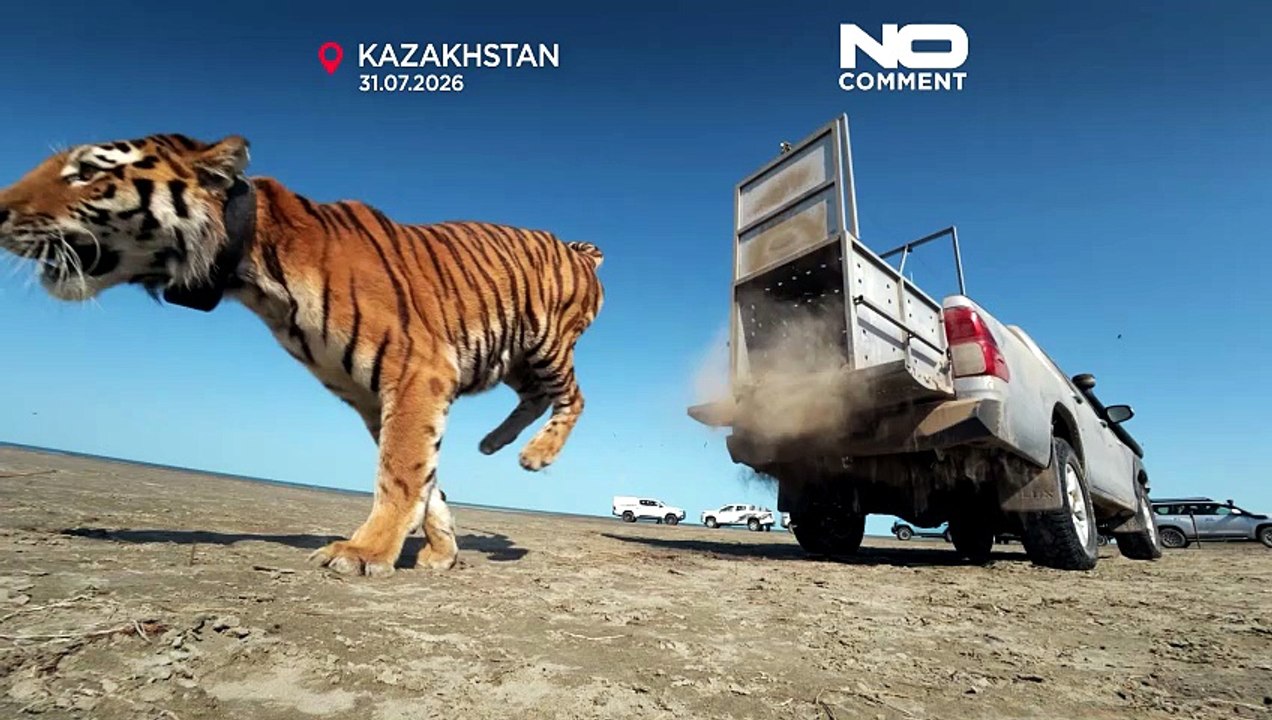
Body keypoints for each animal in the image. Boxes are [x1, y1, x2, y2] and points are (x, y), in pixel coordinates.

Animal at [0, 133, 604, 577]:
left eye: (86, 171)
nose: (0, 210)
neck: (251, 270)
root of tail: (576, 247)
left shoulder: (416, 375)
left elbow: (399, 472)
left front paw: (364, 552)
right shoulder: (377, 396)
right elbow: (424, 478)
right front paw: (440, 551)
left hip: (545, 343)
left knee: (574, 397)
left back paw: (535, 454)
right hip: (515, 357)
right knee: (534, 397)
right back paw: (493, 442)